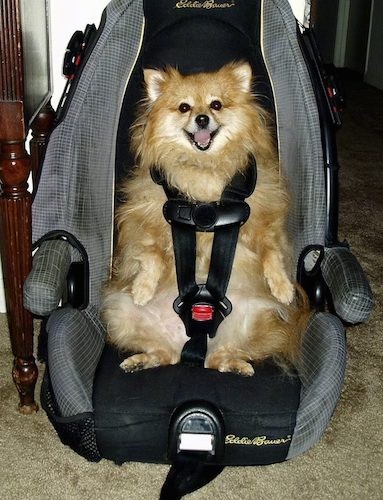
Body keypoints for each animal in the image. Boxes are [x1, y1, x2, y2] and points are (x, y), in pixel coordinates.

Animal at [102, 61, 312, 376]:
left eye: (216, 105)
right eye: (184, 107)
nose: (202, 119)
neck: (203, 167)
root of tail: (188, 347)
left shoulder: (264, 218)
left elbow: (271, 252)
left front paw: (283, 287)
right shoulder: (145, 216)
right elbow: (151, 253)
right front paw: (143, 288)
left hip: (259, 319)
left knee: (220, 355)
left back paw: (236, 365)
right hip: (119, 312)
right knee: (165, 354)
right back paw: (140, 361)